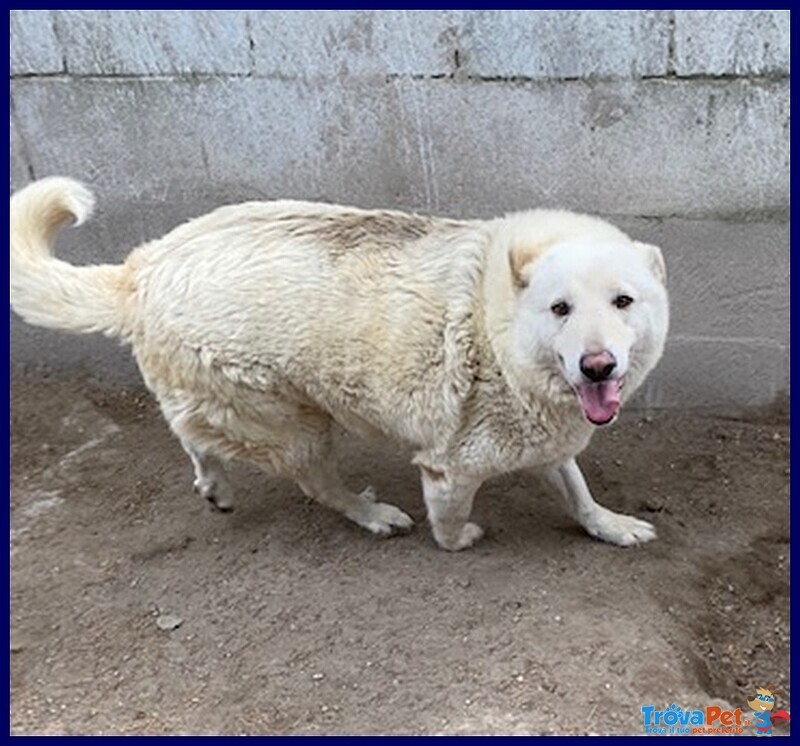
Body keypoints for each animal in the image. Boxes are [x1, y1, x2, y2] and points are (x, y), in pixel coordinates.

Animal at [10, 177, 668, 548]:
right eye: (560, 308)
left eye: (623, 301)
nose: (597, 366)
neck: (497, 323)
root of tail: (143, 268)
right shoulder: (451, 468)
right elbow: (450, 523)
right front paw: (458, 540)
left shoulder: (547, 442)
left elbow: (579, 493)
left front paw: (611, 526)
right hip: (296, 427)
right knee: (318, 485)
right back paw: (372, 514)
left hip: (234, 410)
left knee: (196, 440)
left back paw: (215, 488)